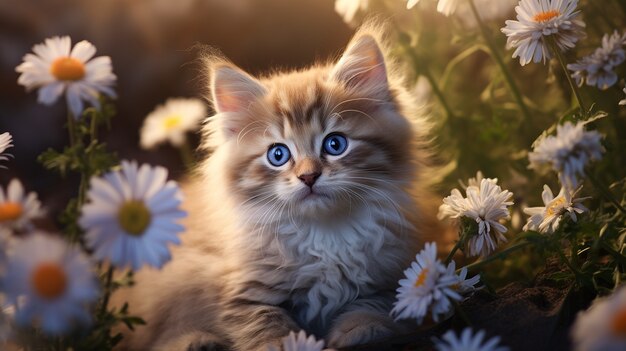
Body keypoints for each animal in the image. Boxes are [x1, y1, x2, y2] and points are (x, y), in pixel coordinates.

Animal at [111, 23, 444, 350]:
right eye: (278, 155)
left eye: (335, 144)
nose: (308, 176)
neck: (323, 236)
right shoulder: (242, 289)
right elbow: (263, 322)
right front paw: (286, 343)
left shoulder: (394, 274)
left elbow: (375, 304)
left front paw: (361, 329)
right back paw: (198, 341)